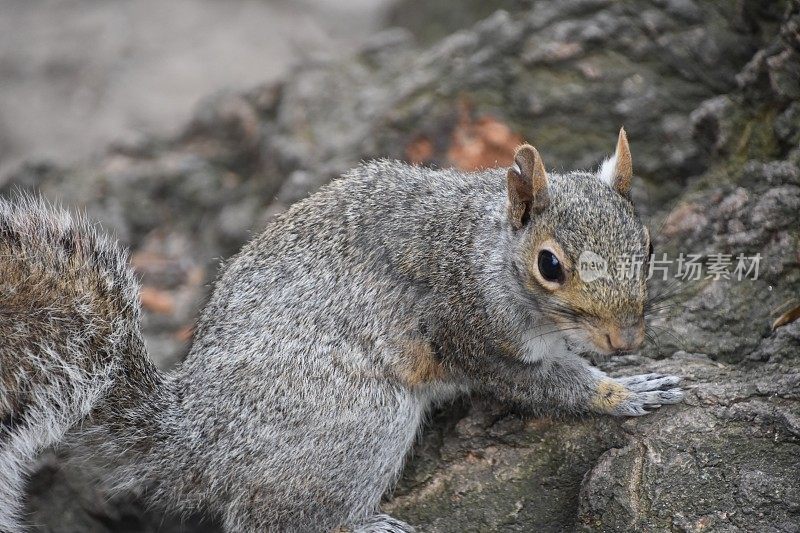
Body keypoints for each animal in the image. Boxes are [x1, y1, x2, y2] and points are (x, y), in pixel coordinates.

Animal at [0, 130, 680, 532]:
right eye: (550, 265)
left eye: (648, 244)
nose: (627, 340)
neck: (484, 251)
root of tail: (195, 437)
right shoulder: (474, 332)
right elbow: (544, 385)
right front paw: (626, 391)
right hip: (357, 419)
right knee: (269, 518)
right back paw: (361, 523)